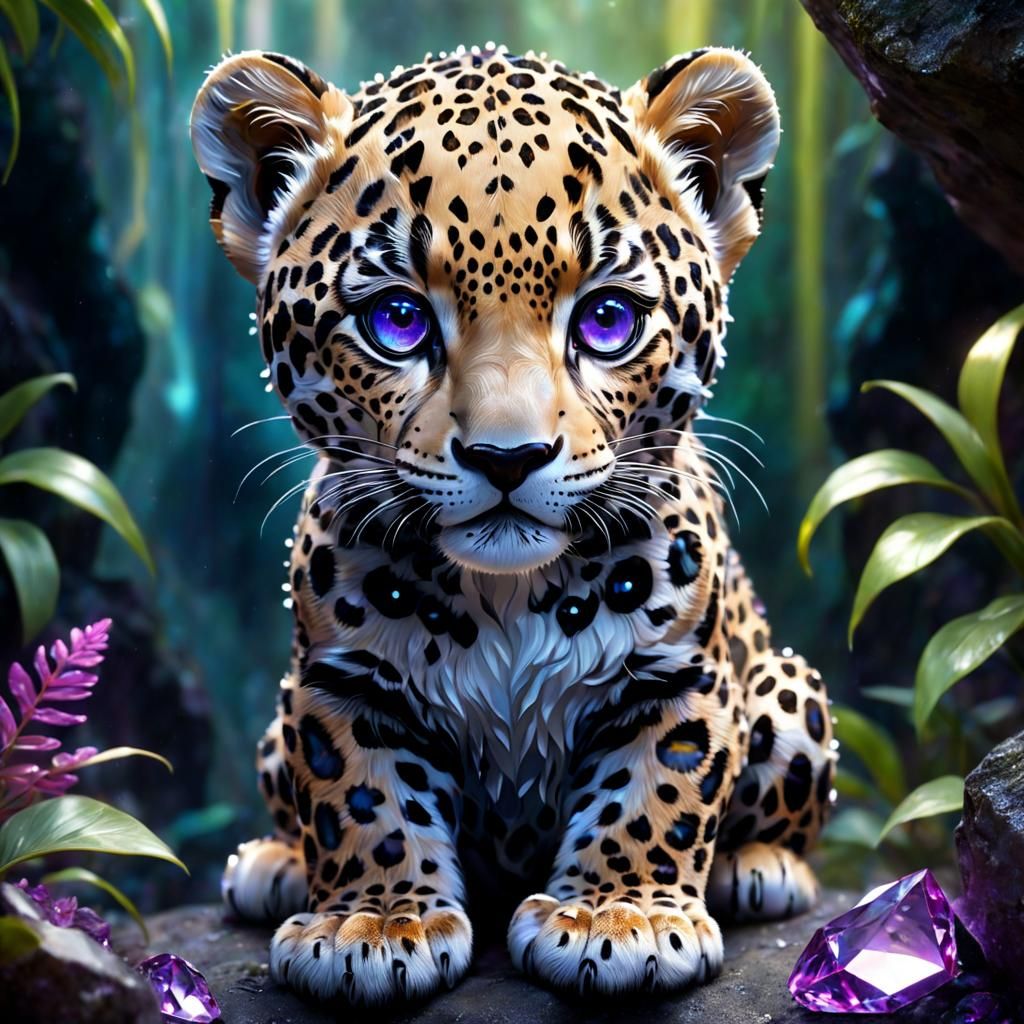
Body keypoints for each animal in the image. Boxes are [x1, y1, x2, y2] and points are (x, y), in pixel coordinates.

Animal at [190, 42, 836, 1007]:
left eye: (607, 319)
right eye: (397, 319)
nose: (507, 456)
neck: (505, 596)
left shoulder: (679, 673)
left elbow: (658, 790)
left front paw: (620, 914)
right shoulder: (339, 683)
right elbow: (360, 800)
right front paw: (371, 922)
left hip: (793, 692)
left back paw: (757, 867)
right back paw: (274, 866)